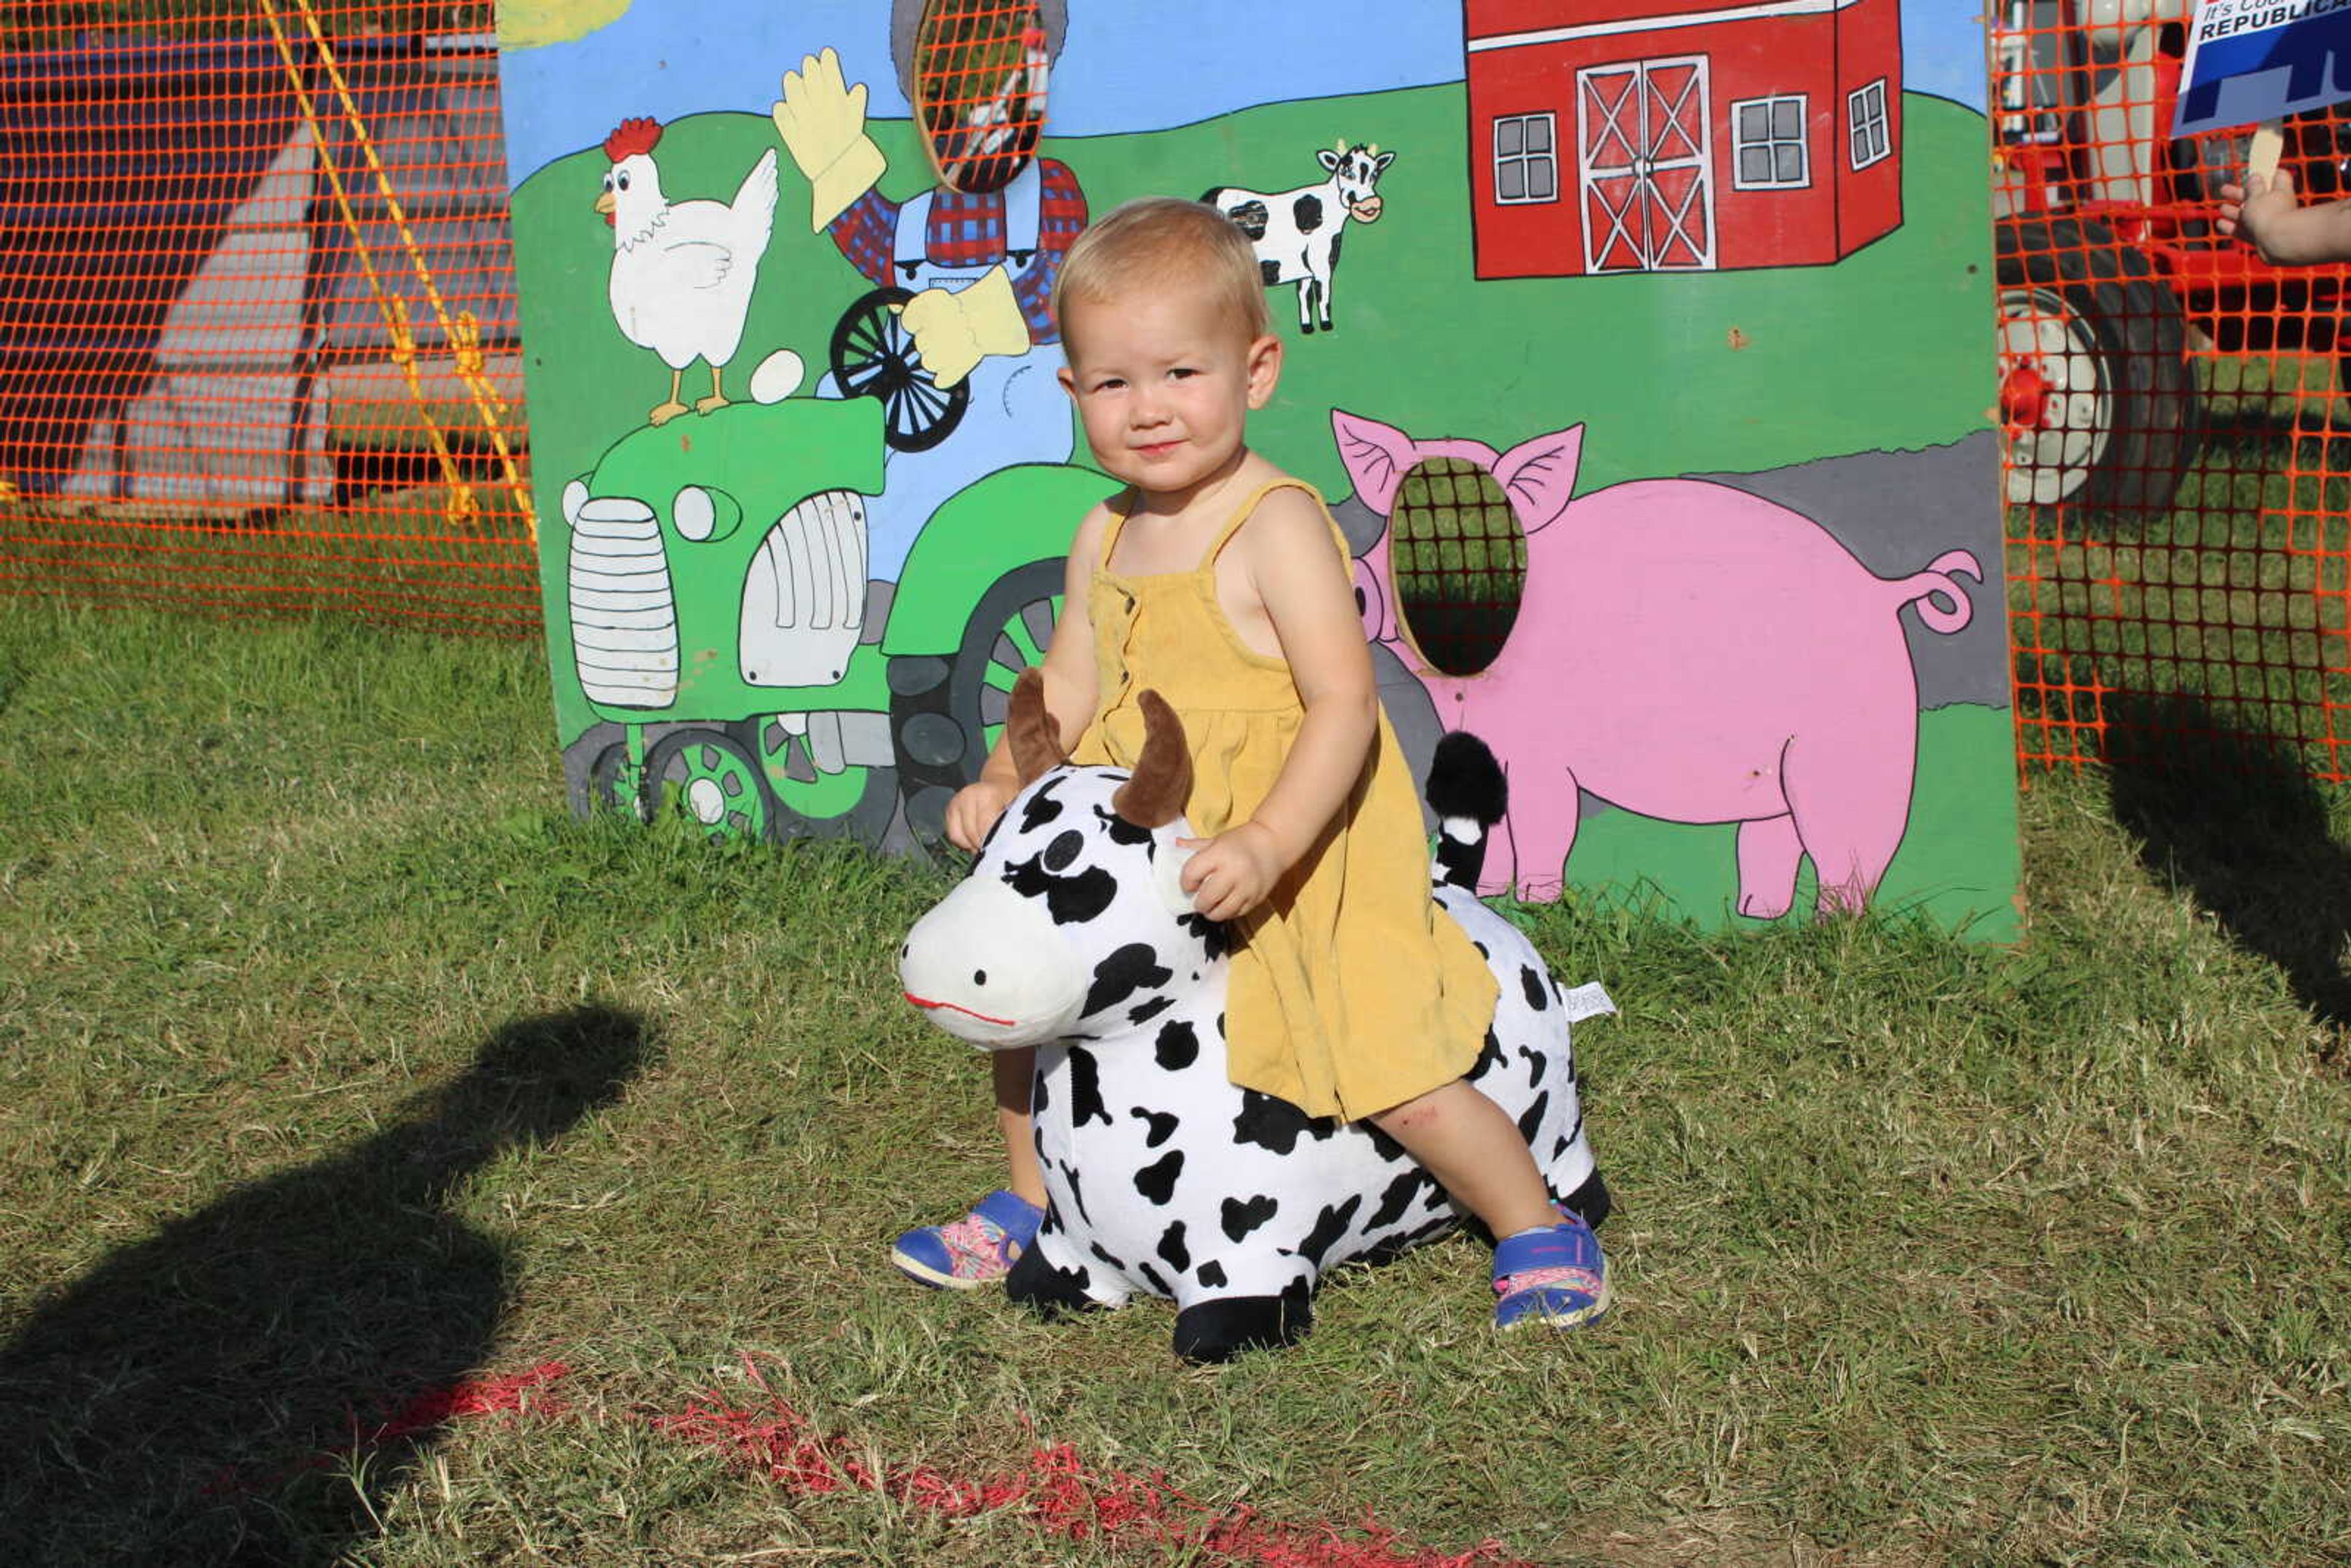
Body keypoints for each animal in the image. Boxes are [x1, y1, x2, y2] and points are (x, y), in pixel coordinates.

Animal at [888, 672, 1608, 1363]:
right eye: (982, 853)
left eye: (1069, 867)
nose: (934, 957)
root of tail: (1458, 895)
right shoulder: (1075, 1239)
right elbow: (1050, 1278)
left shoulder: (1250, 1250)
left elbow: (1227, 1313)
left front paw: (1229, 1334)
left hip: (1551, 1117)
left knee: (1508, 1146)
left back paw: (1553, 1258)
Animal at [1204, 141, 1382, 338]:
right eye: (1345, 171)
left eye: (1375, 174)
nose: (1369, 204)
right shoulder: (1322, 264)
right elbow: (1323, 295)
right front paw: (1327, 325)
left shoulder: (1304, 270)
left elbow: (1305, 297)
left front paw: (1308, 327)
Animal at [1335, 411, 1974, 912]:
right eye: (1394, 518)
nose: (1360, 583)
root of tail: (1885, 589)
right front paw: (1491, 897)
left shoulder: (1545, 756)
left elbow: (1547, 823)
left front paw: (1535, 903)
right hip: (1783, 777)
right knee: (1774, 839)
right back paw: (1756, 914)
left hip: (1855, 753)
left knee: (1852, 852)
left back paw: (1829, 926)